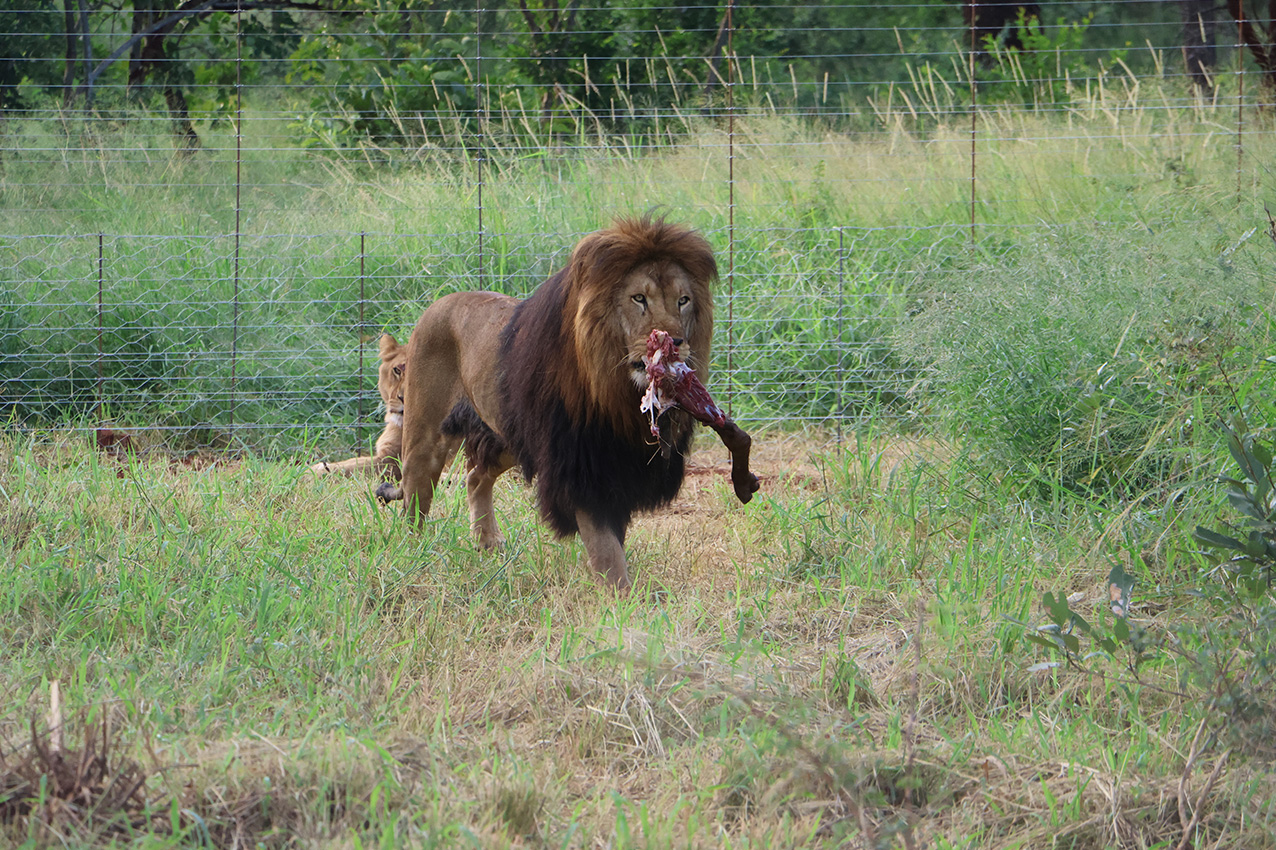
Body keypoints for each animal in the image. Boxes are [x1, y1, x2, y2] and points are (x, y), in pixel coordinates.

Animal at [378, 216, 718, 590]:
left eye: (683, 300)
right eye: (639, 299)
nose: (675, 343)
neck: (617, 393)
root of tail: (438, 303)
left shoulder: (615, 462)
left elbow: (614, 539)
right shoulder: (579, 465)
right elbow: (605, 546)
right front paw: (621, 596)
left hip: (511, 434)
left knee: (476, 476)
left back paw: (487, 542)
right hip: (427, 435)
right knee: (415, 497)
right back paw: (413, 554)